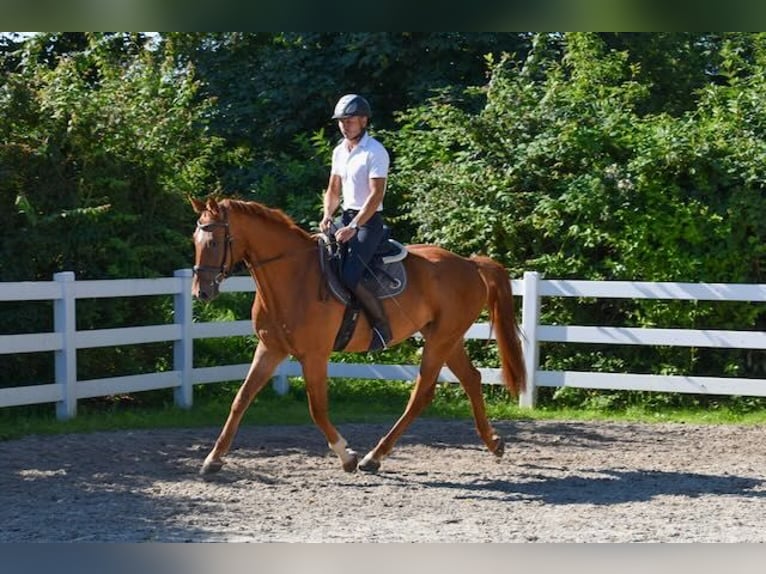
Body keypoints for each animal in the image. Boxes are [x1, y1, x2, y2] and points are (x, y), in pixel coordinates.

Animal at [192, 198, 528, 476]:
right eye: (196, 240)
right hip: (446, 337)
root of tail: (469, 264)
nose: (202, 292)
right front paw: (213, 459)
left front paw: (347, 456)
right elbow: (241, 399)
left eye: (214, 241)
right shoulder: (270, 348)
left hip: (440, 340)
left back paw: (372, 457)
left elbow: (317, 408)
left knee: (421, 394)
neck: (293, 276)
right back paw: (493, 443)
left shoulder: (314, 355)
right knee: (471, 378)